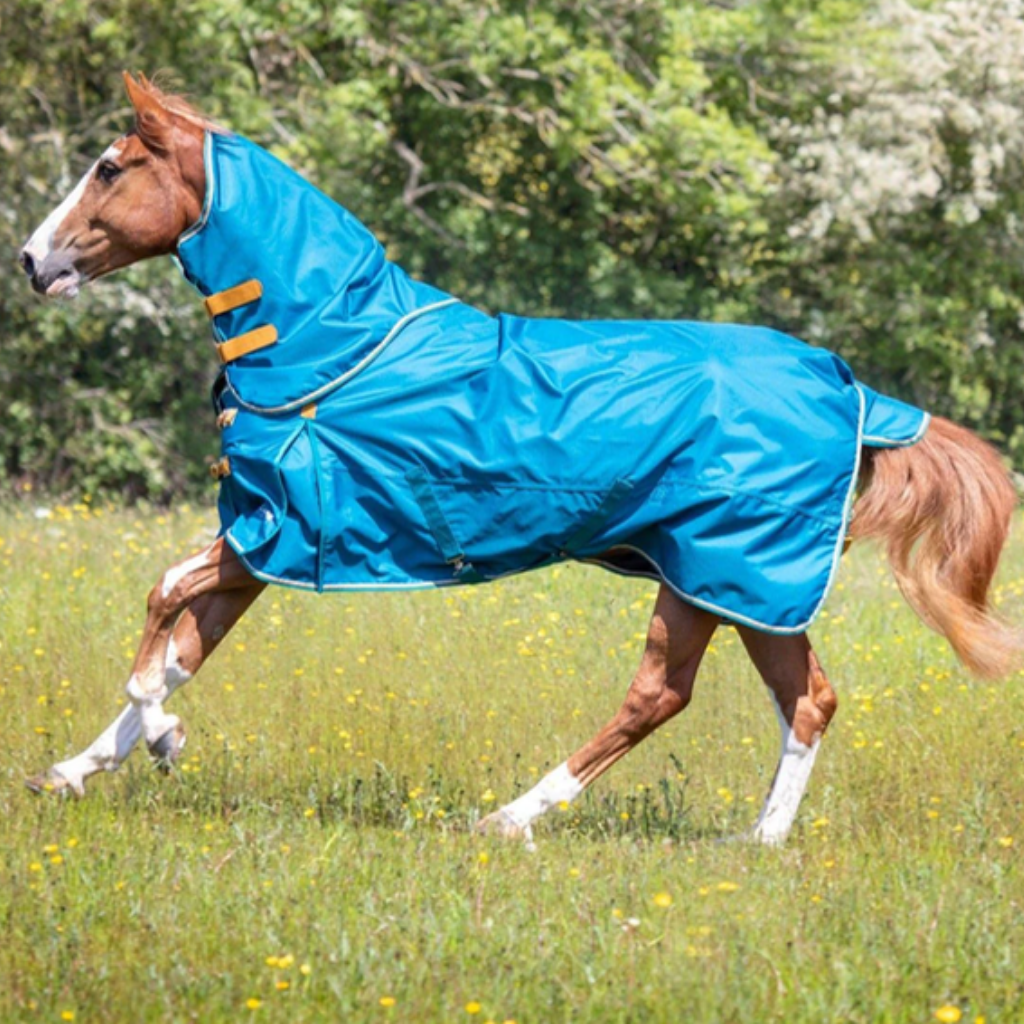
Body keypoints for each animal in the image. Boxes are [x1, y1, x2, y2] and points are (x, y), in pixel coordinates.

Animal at [18, 73, 1022, 846]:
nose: (31, 260)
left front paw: (165, 743)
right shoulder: (264, 543)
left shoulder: (282, 529)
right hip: (741, 586)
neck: (329, 347)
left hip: (717, 571)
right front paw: (70, 772)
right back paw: (759, 841)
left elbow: (159, 614)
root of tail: (853, 394)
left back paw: (513, 818)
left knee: (659, 696)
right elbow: (182, 645)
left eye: (110, 167)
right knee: (806, 698)